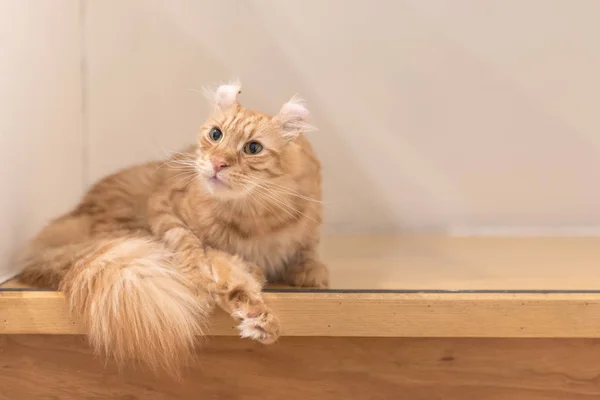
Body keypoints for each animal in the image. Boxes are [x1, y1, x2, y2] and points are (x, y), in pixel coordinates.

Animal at [17, 83, 328, 374]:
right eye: (216, 135)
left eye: (253, 148)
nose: (217, 163)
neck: (253, 218)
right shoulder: (165, 209)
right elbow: (200, 253)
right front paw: (241, 302)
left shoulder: (307, 224)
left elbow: (309, 258)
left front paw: (305, 275)